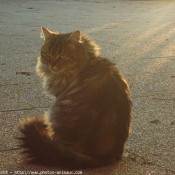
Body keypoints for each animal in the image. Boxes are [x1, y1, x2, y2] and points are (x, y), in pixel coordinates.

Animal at [17, 27, 131, 170]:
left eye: (62, 56)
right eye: (47, 54)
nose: (51, 65)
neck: (88, 61)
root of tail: (104, 158)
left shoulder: (59, 94)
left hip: (56, 112)